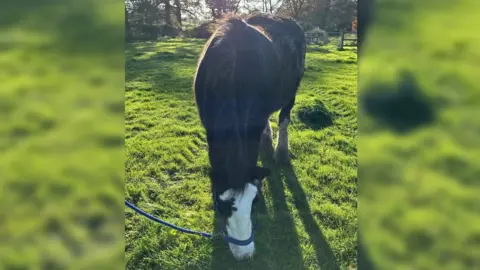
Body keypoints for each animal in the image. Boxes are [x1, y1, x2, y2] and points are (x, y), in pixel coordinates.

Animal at [193, 13, 306, 260]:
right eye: (220, 205)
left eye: (255, 201)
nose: (244, 253)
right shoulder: (210, 126)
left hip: (292, 90)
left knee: (284, 116)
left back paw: (280, 152)